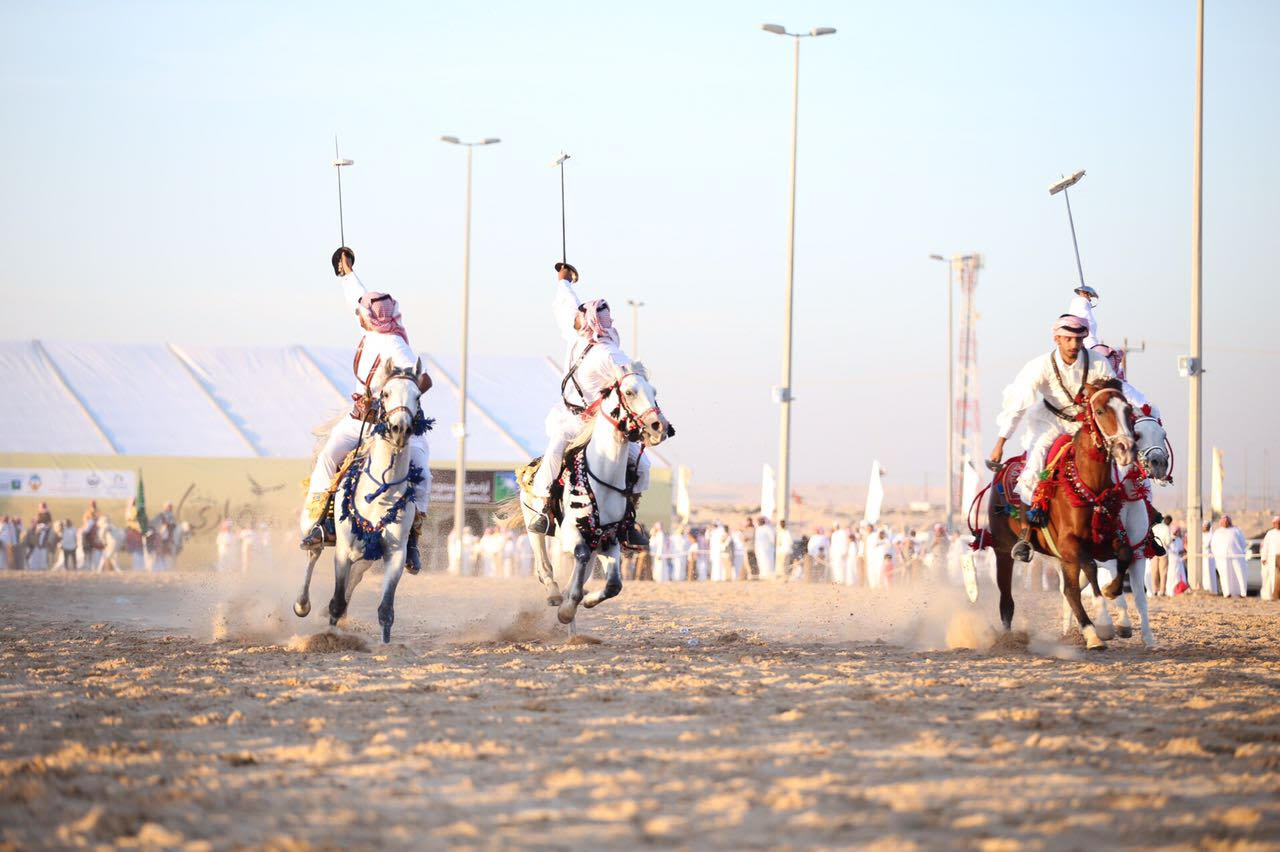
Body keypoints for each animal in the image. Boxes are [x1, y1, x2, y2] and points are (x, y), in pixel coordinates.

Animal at [293, 358, 427, 644]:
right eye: (385, 394)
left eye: (418, 396)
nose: (401, 429)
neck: (380, 493)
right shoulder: (343, 551)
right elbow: (336, 600)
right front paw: (330, 636)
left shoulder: (395, 554)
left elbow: (385, 609)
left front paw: (385, 644)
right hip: (314, 529)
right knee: (313, 555)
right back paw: (302, 604)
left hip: (367, 555)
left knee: (356, 577)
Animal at [509, 360, 675, 626]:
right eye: (629, 392)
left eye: (654, 392)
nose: (659, 427)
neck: (604, 477)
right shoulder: (571, 533)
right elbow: (581, 556)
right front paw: (567, 609)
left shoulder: (609, 539)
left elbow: (614, 585)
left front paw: (584, 600)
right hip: (533, 524)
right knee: (544, 562)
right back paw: (555, 593)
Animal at [983, 378, 1136, 649]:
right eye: (1100, 411)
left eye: (1128, 410)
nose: (1126, 448)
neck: (1089, 485)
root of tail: (1002, 470)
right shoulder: (1069, 543)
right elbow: (1090, 569)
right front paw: (1105, 622)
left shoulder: (1101, 542)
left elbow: (1124, 554)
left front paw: (1116, 607)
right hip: (1003, 550)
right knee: (1007, 599)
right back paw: (1009, 639)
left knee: (1069, 591)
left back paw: (1090, 633)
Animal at [1064, 411, 1172, 644]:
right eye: (1138, 434)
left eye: (1163, 434)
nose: (1158, 463)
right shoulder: (1103, 557)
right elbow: (1115, 589)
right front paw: (1119, 624)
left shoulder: (1139, 554)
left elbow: (1139, 597)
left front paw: (1148, 638)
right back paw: (1070, 630)